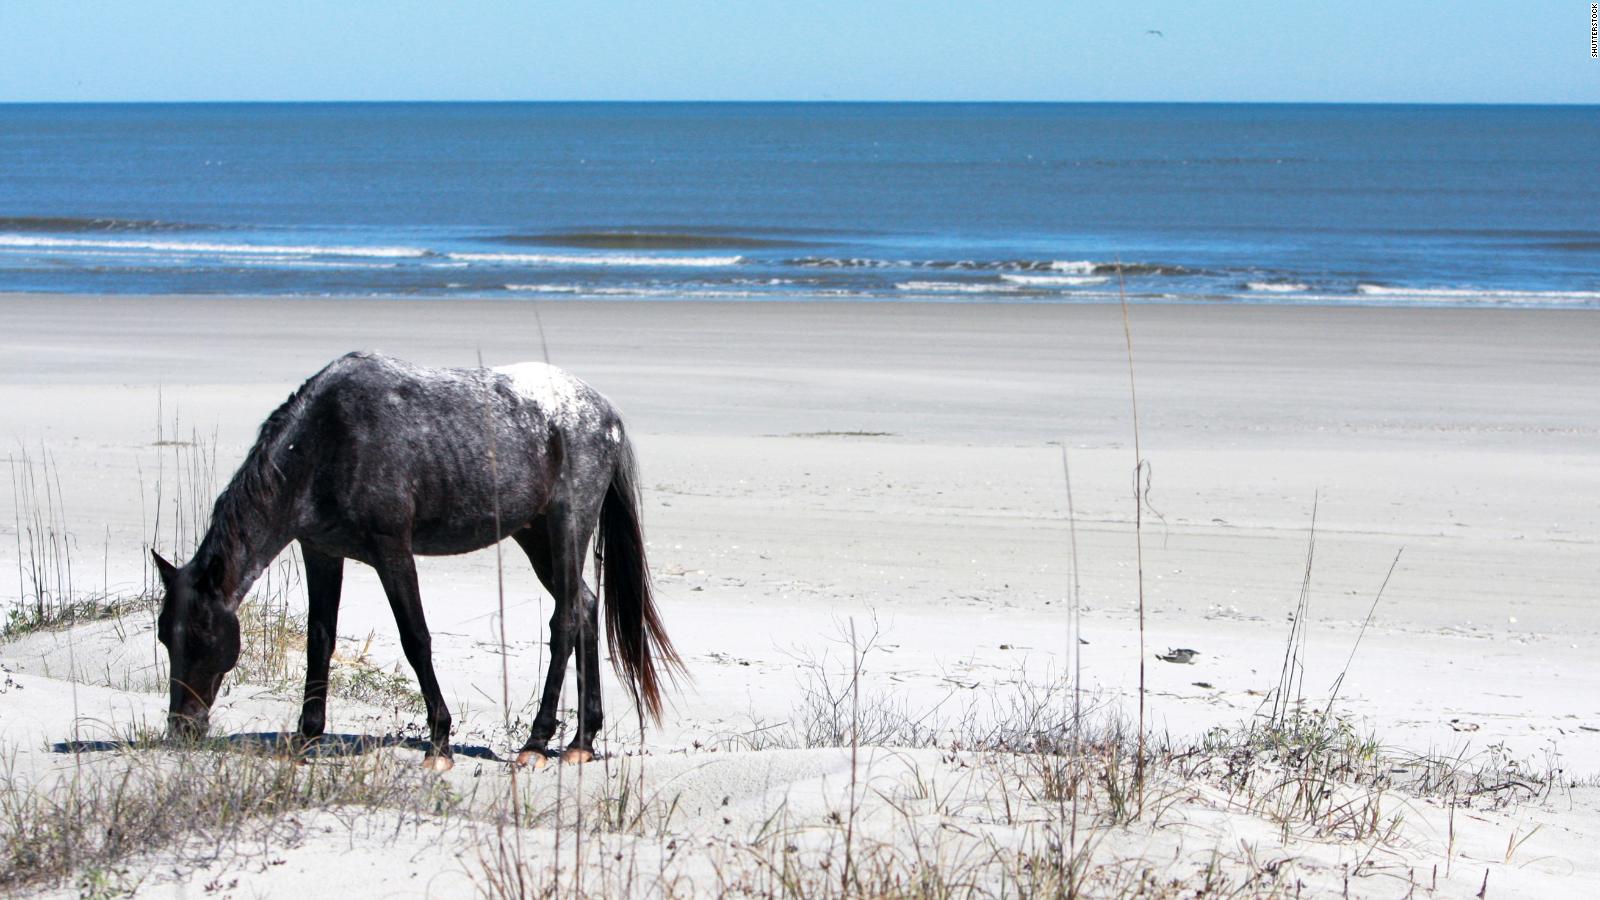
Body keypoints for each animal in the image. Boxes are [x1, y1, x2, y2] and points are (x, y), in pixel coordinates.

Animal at [147, 347, 678, 768]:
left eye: (201, 637)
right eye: (164, 637)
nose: (182, 729)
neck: (325, 440)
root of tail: (605, 412)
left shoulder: (392, 550)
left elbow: (415, 638)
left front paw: (439, 743)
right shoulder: (321, 552)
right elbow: (321, 640)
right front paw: (307, 736)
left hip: (568, 524)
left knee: (565, 620)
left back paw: (536, 741)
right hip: (535, 536)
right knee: (585, 607)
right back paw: (581, 741)